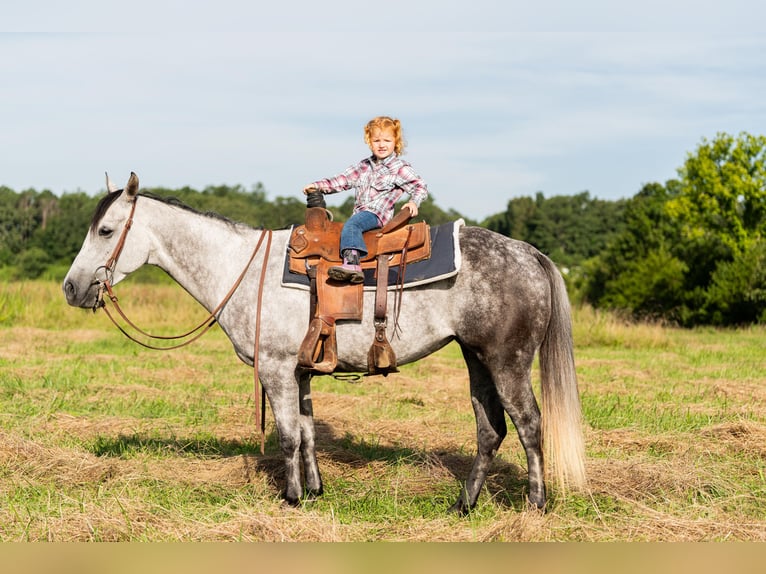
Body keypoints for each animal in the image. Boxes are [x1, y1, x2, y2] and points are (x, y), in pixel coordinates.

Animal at [62, 172, 587, 513]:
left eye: (106, 230)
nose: (71, 287)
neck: (241, 269)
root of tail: (530, 253)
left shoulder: (276, 369)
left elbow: (288, 434)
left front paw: (292, 498)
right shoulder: (301, 371)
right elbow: (309, 430)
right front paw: (315, 490)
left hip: (507, 361)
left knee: (529, 424)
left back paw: (535, 504)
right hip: (476, 358)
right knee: (489, 429)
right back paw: (465, 503)